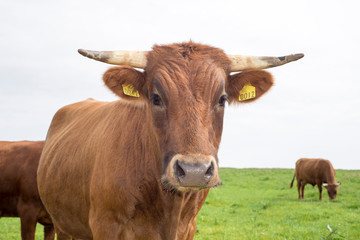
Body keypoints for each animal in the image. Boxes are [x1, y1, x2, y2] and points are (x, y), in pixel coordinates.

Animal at [38, 41, 304, 240]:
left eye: (222, 99)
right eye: (156, 98)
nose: (194, 171)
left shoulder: (188, 228)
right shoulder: (106, 226)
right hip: (63, 224)